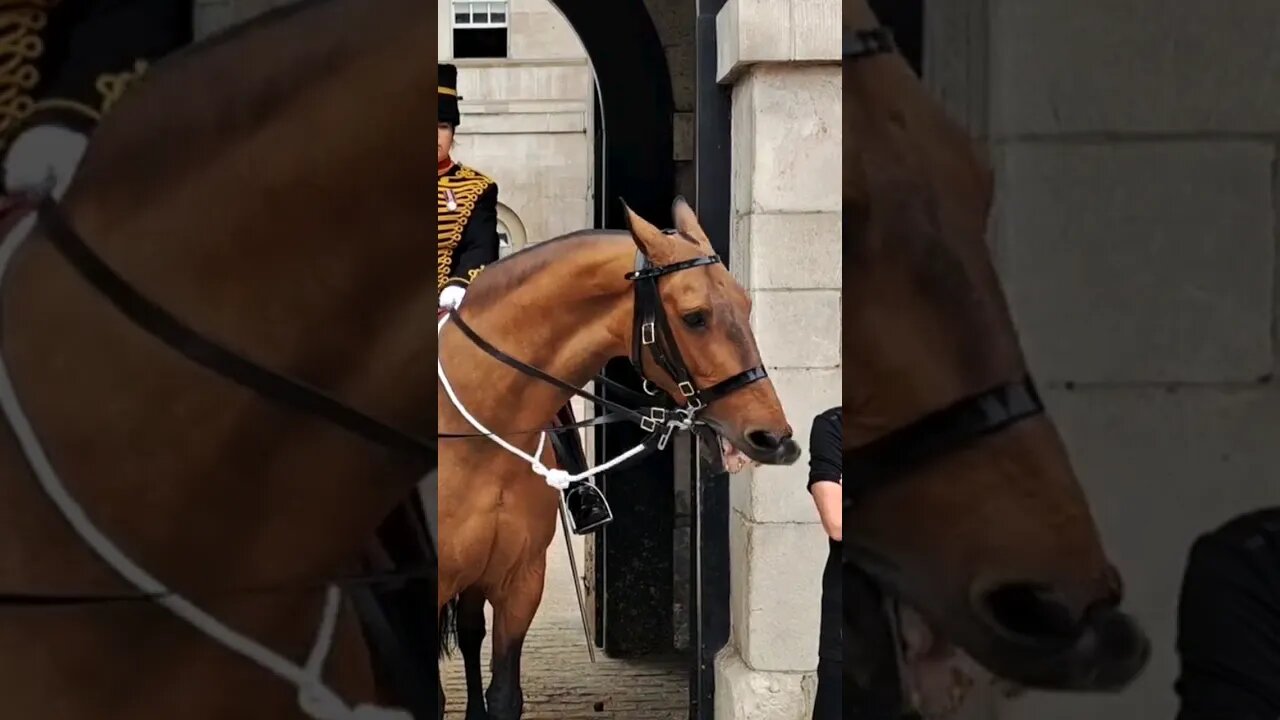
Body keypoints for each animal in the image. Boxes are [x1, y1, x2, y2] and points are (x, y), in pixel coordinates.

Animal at [436, 197, 801, 718]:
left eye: (745, 304)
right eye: (695, 316)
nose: (775, 439)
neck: (478, 436)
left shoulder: (518, 581)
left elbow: (504, 694)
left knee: (469, 633)